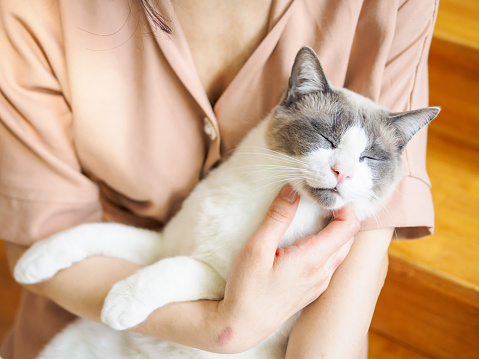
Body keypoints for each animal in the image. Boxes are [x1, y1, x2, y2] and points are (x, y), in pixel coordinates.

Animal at [13, 46, 440, 358]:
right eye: (327, 139)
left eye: (368, 158)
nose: (342, 172)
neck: (260, 192)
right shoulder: (160, 244)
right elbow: (97, 233)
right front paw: (32, 262)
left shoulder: (226, 284)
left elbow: (174, 270)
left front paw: (120, 302)